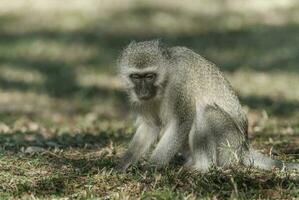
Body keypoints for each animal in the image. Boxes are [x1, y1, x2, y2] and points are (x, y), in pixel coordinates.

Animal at [116, 40, 299, 172]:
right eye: (136, 77)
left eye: (149, 76)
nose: (143, 91)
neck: (165, 79)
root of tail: (244, 148)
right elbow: (150, 126)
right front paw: (122, 164)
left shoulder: (179, 83)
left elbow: (182, 121)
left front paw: (151, 168)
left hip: (229, 147)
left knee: (207, 112)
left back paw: (203, 167)